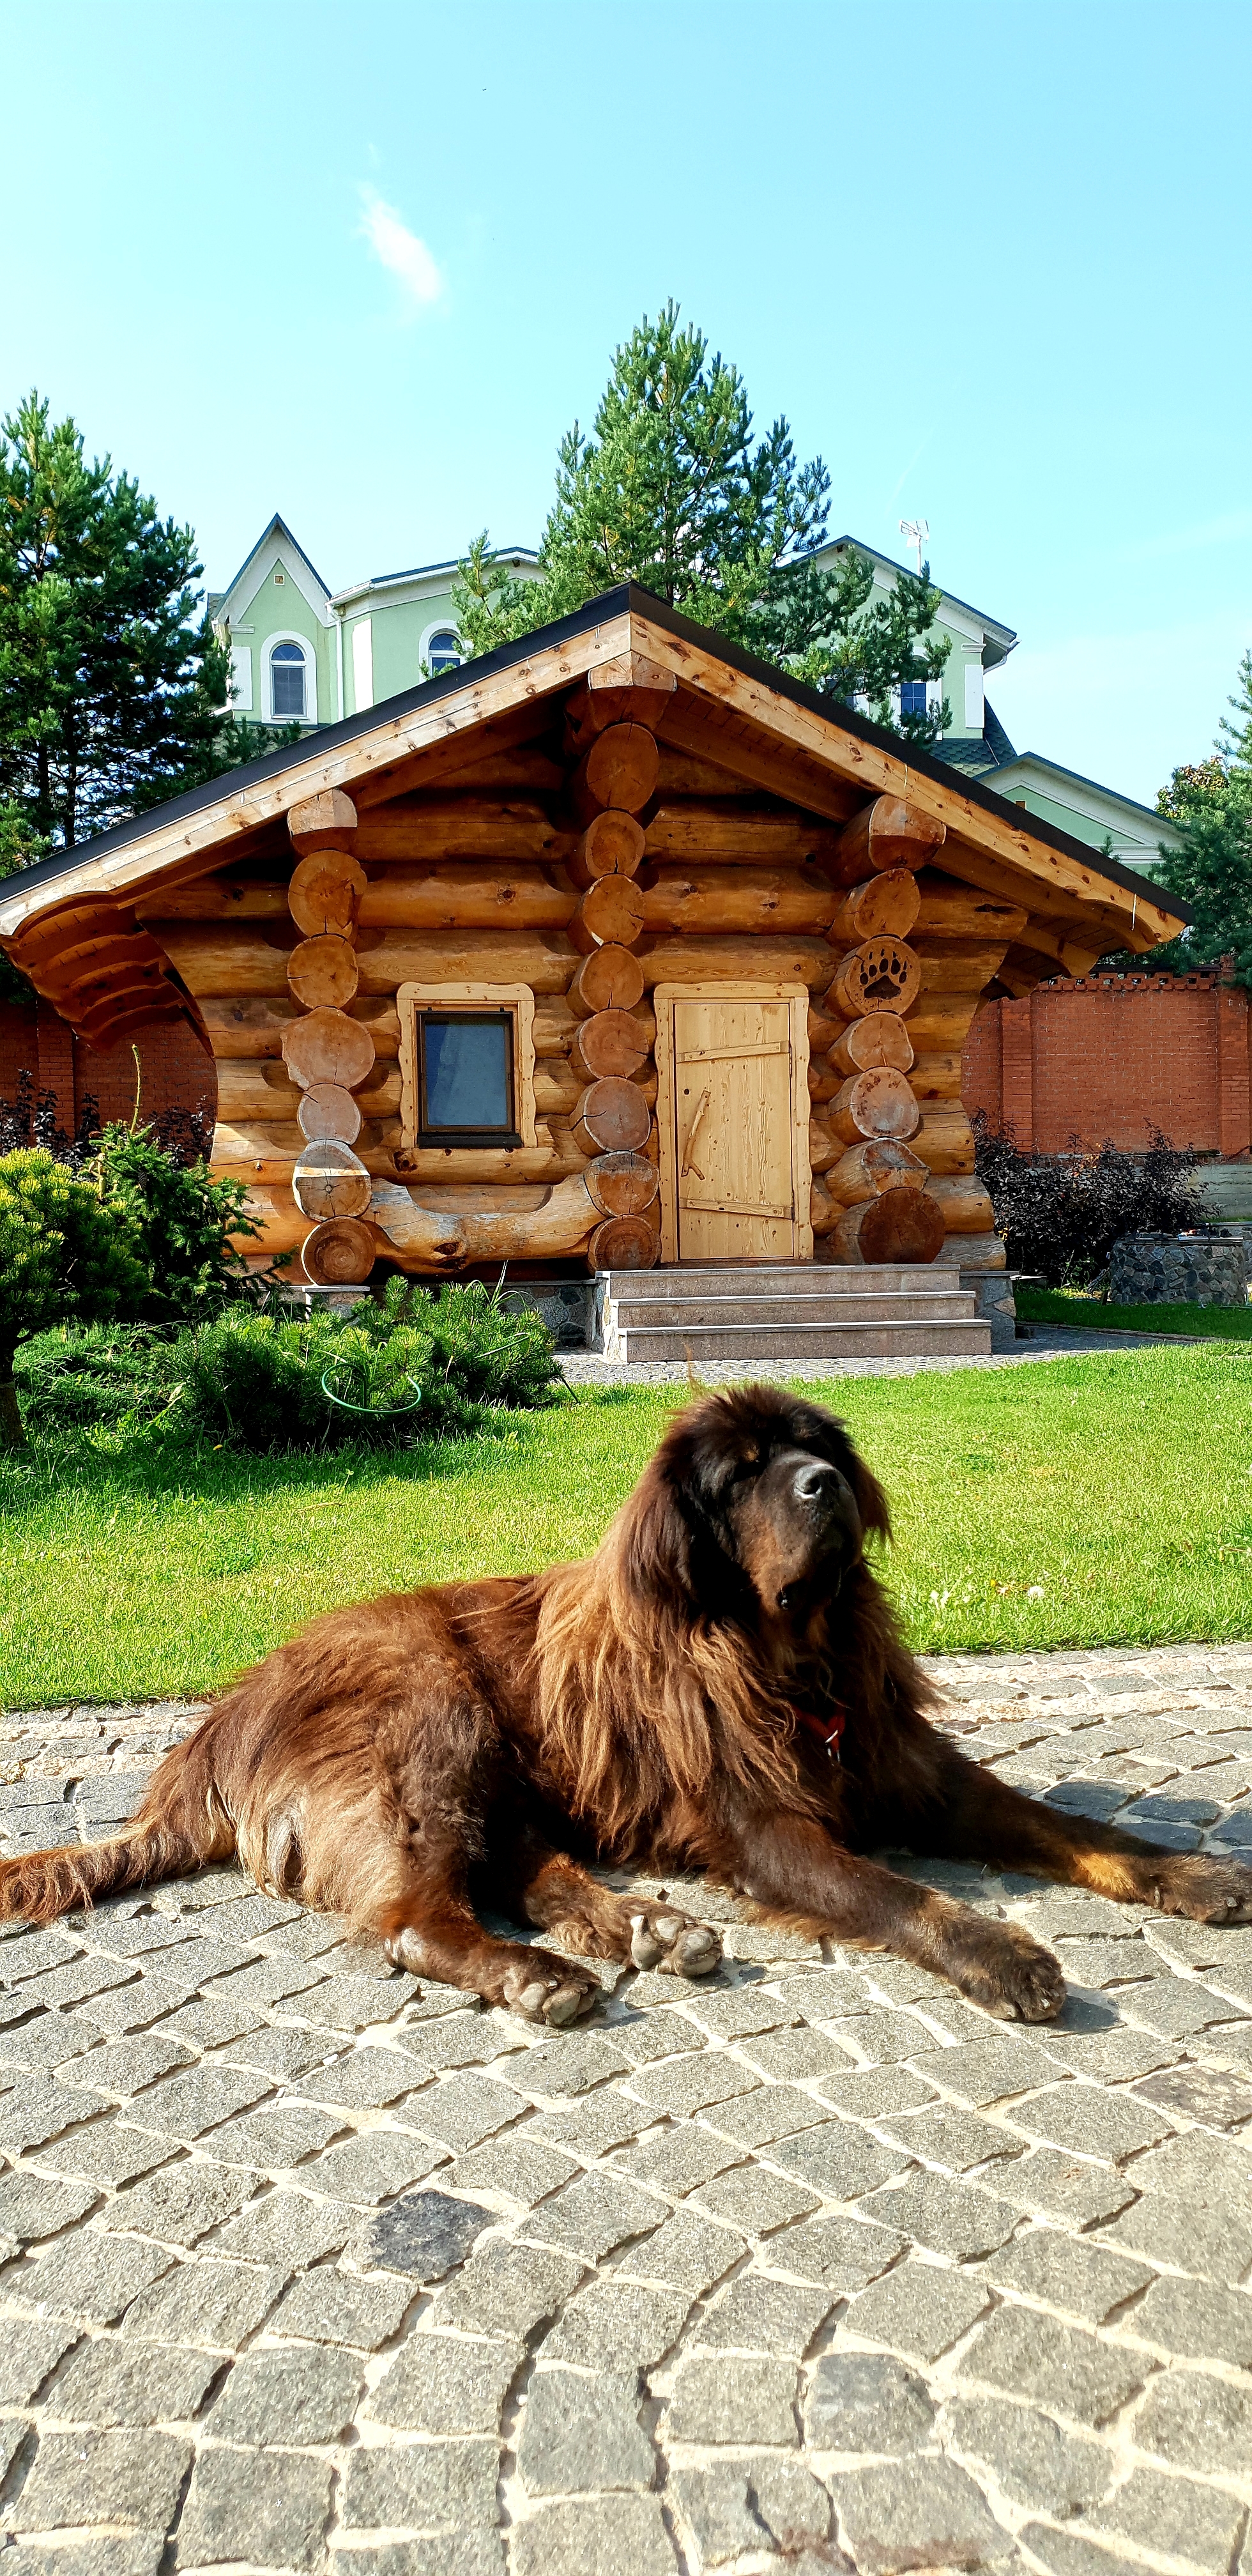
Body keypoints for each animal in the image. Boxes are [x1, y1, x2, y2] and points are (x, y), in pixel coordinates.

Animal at [4, 1391, 1246, 2009]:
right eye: (741, 1475)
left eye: (815, 1447)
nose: (824, 1484)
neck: (790, 1659)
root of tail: (213, 1731)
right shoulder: (765, 1827)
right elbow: (899, 1894)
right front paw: (1002, 1956)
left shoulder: (911, 1768)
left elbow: (1066, 1825)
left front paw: (1188, 1873)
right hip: (428, 1718)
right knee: (417, 1916)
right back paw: (544, 1975)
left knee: (519, 1865)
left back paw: (648, 1927)